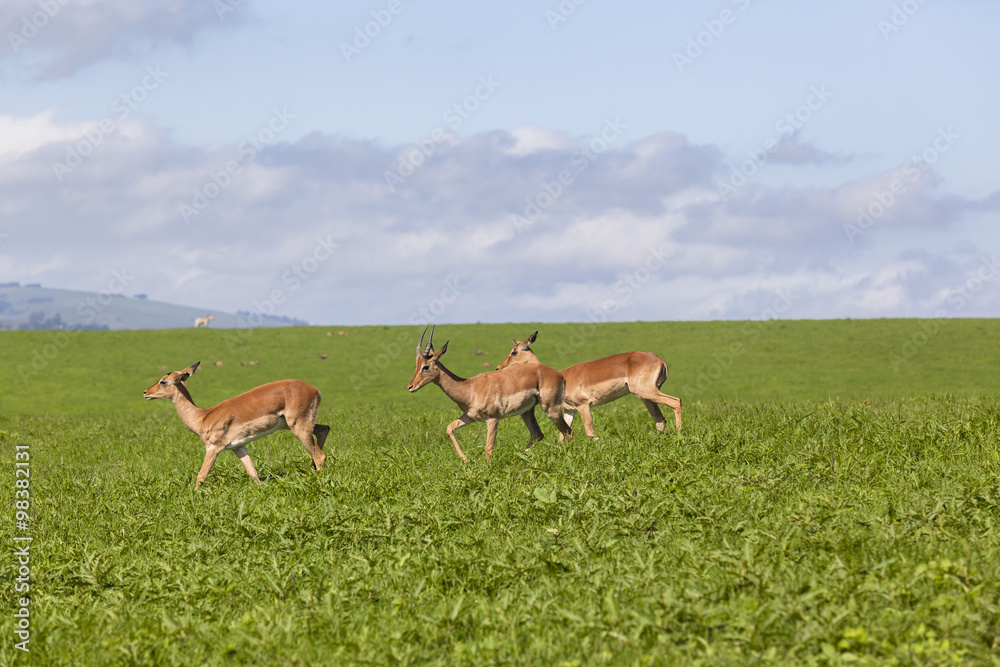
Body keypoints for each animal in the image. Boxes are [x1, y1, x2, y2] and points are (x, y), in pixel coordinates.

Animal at [143, 362, 329, 489]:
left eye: (163, 381)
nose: (145, 392)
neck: (202, 417)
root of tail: (315, 390)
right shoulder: (239, 447)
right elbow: (253, 474)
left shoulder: (213, 448)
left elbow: (201, 475)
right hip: (295, 424)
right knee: (324, 429)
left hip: (298, 426)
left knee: (320, 456)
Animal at [407, 327, 572, 461]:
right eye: (416, 365)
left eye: (425, 366)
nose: (410, 387)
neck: (469, 387)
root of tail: (559, 374)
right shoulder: (469, 417)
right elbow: (449, 428)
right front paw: (465, 460)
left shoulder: (492, 419)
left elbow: (488, 448)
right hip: (526, 412)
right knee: (538, 434)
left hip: (550, 409)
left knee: (568, 431)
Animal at [497, 331, 682, 437]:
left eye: (514, 352)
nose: (498, 368)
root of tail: (660, 360)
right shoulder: (570, 410)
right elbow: (563, 435)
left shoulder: (584, 405)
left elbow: (589, 431)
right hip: (646, 397)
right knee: (660, 419)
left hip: (647, 392)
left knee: (676, 402)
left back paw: (680, 433)